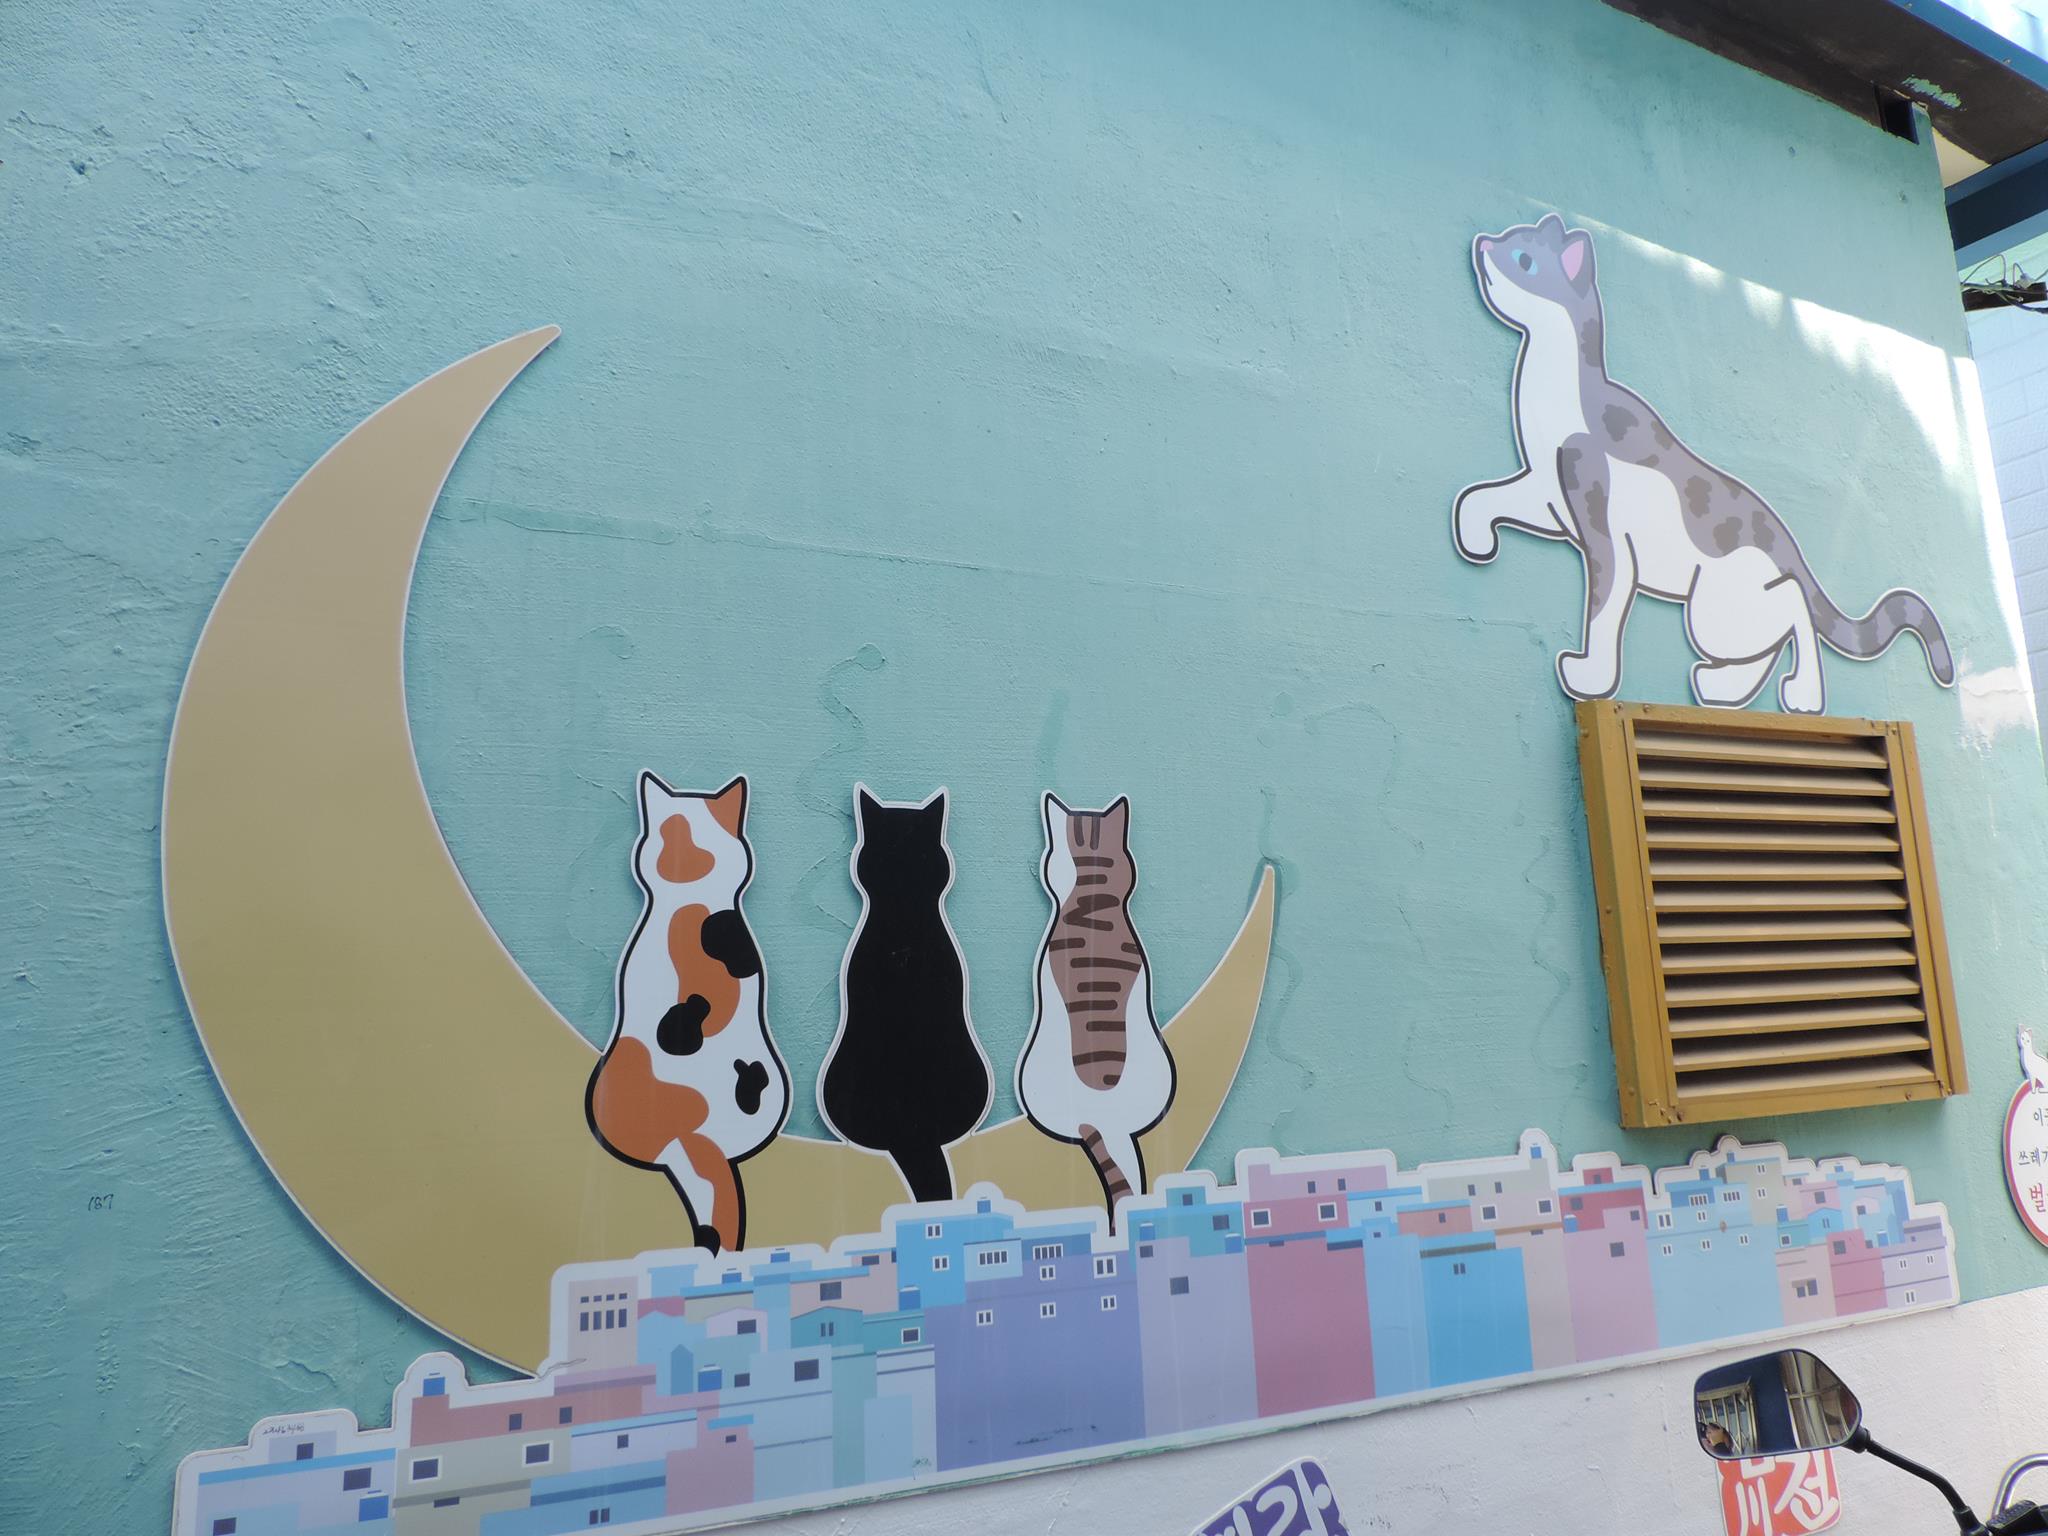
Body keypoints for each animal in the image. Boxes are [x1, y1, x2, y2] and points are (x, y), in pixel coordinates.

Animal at [585, 773, 790, 1253]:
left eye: (689, 834)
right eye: (668, 833)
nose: (679, 855)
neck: (694, 898)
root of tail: (685, 1142)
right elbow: (698, 999)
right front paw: (692, 1013)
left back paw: (748, 1082)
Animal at [1453, 213, 1953, 714]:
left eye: (1524, 260)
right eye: (1508, 240)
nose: (1483, 247)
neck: (1556, 394)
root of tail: (1783, 540)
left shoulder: (1602, 529)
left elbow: (1603, 608)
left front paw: (1590, 675)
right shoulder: (1548, 500)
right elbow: (1480, 500)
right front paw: (1477, 539)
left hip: (1711, 610)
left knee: (1795, 608)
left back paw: (1802, 695)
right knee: (1773, 637)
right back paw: (1723, 688)